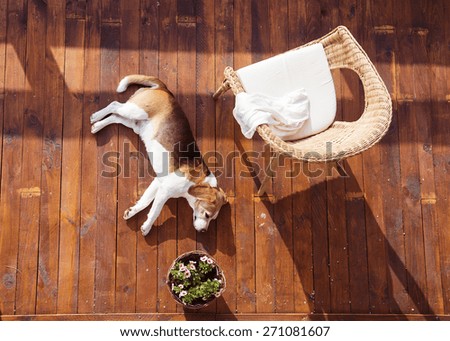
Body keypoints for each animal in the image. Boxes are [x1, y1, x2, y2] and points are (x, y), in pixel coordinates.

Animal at [89, 74, 227, 235]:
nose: (204, 231)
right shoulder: (165, 191)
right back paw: (95, 116)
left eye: (212, 218)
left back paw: (97, 126)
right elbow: (155, 212)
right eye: (207, 215)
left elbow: (144, 202)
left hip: (134, 123)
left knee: (115, 117)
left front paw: (132, 211)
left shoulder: (158, 182)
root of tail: (164, 89)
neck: (199, 182)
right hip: (136, 111)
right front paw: (147, 227)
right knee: (114, 105)